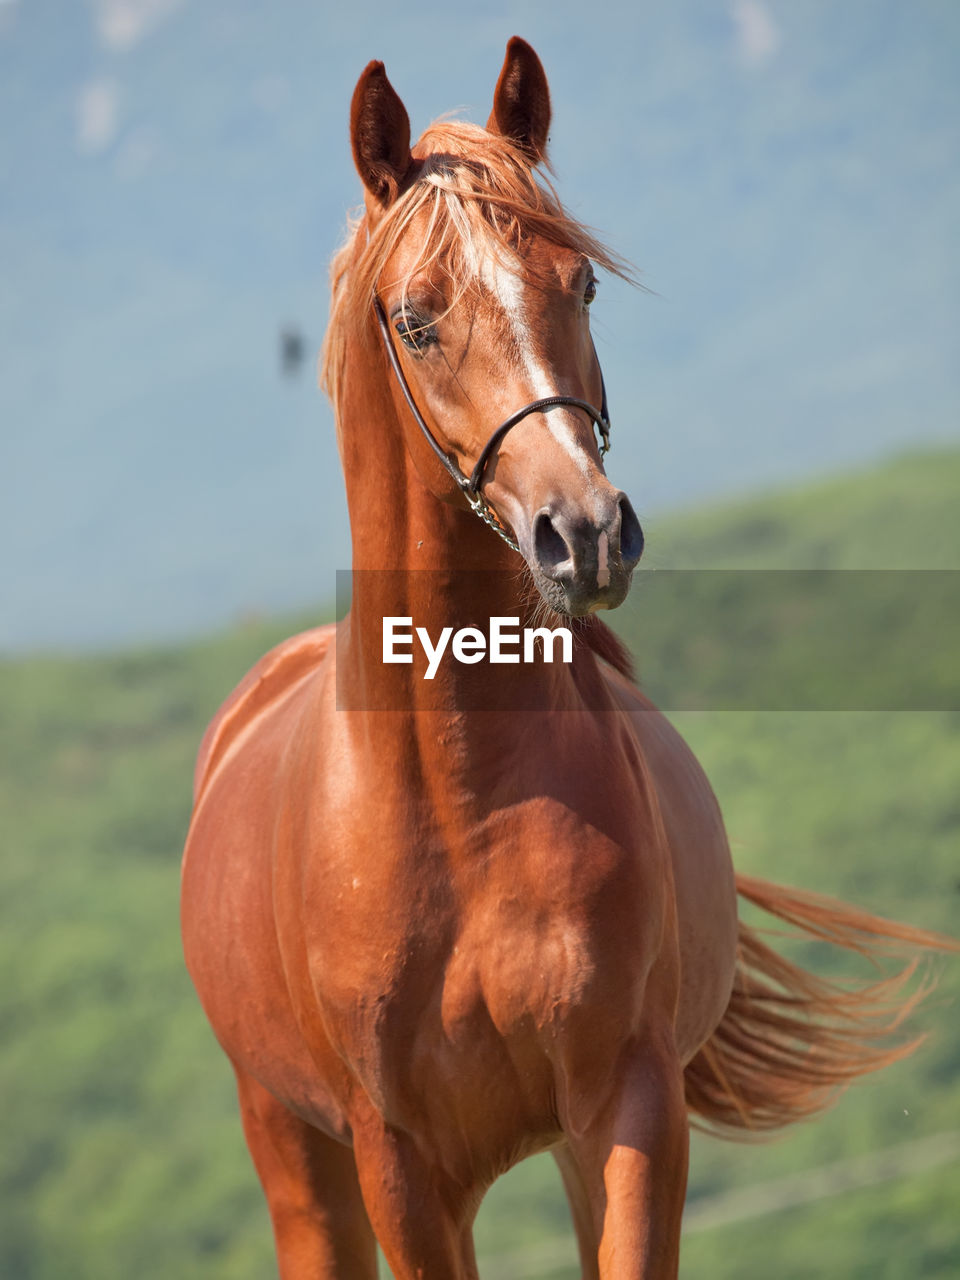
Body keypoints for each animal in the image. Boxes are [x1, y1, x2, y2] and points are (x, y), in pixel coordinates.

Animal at [180, 40, 957, 1280]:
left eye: (580, 284)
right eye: (416, 319)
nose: (582, 531)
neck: (463, 808)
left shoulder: (625, 1110)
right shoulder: (404, 1169)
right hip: (295, 1152)